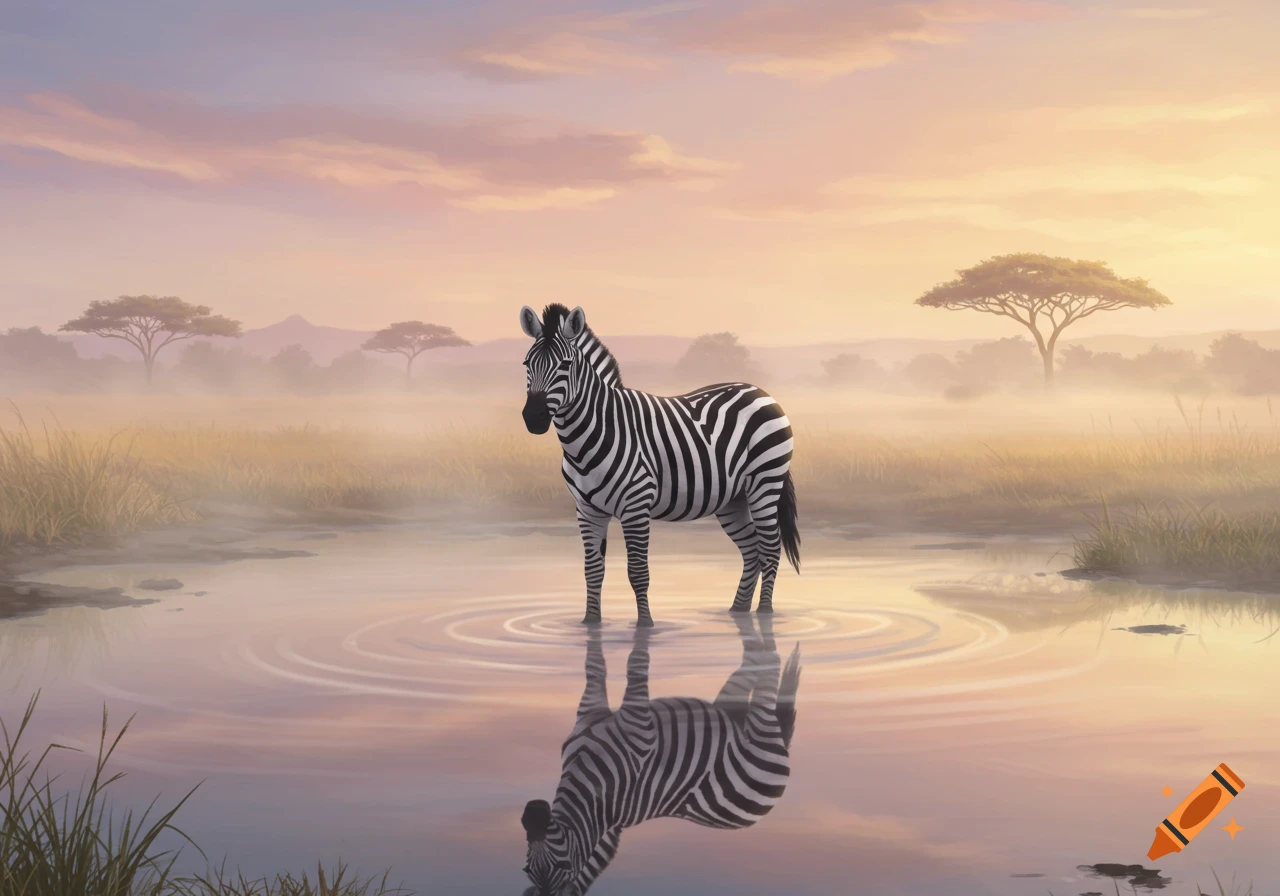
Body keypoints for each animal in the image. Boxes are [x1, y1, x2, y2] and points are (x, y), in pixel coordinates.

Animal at [519, 303, 800, 626]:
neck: (595, 433)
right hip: (734, 498)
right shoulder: (587, 509)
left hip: (765, 483)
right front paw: (590, 624)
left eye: (565, 365)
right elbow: (593, 571)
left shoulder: (636, 505)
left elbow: (638, 572)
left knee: (770, 547)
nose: (534, 418)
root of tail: (760, 392)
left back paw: (765, 613)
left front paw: (646, 625)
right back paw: (737, 611)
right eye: (527, 364)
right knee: (752, 549)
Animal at [521, 616, 801, 896]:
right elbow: (618, 667)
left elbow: (616, 665)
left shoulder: (617, 721)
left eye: (560, 865)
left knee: (764, 660)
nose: (535, 810)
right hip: (745, 722)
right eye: (528, 870)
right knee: (761, 664)